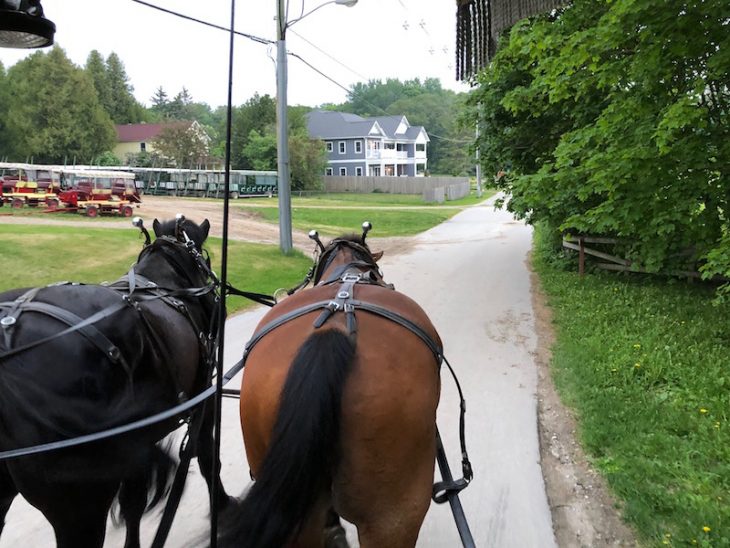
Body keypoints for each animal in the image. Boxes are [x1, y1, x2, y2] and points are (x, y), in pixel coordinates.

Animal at [0, 218, 229, 548]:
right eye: (206, 259)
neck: (168, 282)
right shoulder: (204, 397)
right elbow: (206, 454)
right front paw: (223, 505)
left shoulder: (139, 439)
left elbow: (134, 502)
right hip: (81, 506)